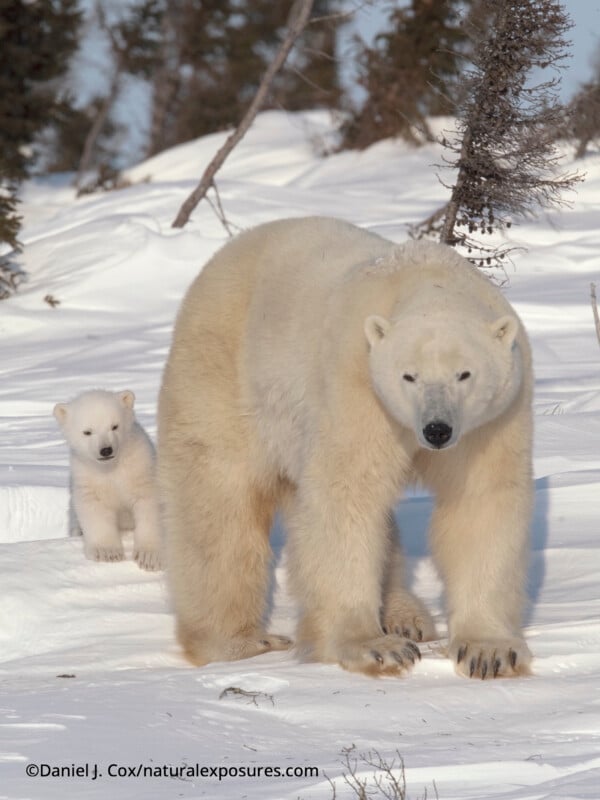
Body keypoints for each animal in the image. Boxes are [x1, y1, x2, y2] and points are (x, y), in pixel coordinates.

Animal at [54, 389, 163, 571]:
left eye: (114, 426)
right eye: (87, 432)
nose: (106, 450)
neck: (111, 467)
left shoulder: (140, 466)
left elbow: (150, 503)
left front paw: (149, 557)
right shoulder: (87, 475)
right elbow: (94, 509)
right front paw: (108, 553)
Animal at [157, 216, 533, 679]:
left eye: (465, 373)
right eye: (408, 376)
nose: (436, 430)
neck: (427, 277)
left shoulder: (494, 417)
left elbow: (482, 499)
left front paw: (488, 651)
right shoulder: (354, 385)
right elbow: (347, 496)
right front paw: (374, 647)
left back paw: (406, 616)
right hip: (222, 372)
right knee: (218, 501)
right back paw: (238, 640)